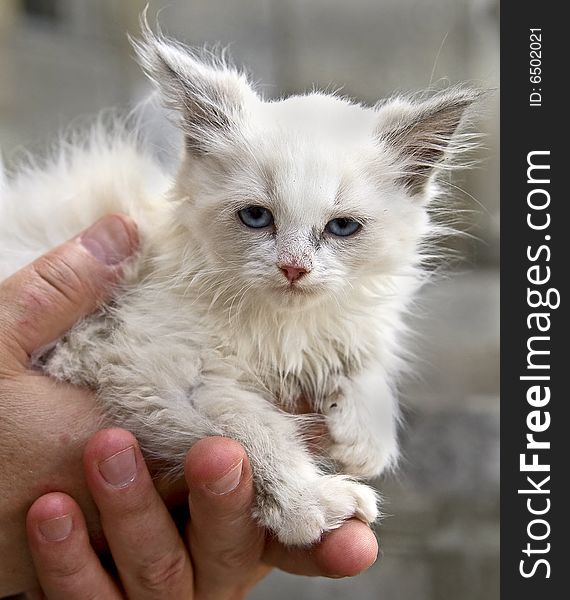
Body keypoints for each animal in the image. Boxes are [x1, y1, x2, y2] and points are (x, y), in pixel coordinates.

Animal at [0, 24, 478, 548]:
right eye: (256, 217)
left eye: (342, 228)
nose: (294, 268)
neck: (283, 329)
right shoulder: (153, 367)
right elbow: (257, 430)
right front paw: (309, 505)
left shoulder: (350, 324)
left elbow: (365, 365)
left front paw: (363, 437)